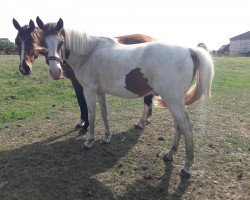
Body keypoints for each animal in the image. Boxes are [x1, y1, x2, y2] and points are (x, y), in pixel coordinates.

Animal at [13, 17, 156, 133]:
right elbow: (80, 101)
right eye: (17, 41)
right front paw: (81, 121)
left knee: (147, 100)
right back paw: (147, 119)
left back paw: (140, 122)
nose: (24, 68)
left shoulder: (80, 83)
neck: (84, 53)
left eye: (31, 40)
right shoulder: (75, 82)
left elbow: (83, 102)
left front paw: (85, 125)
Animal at [37, 16, 215, 177]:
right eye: (43, 42)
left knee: (186, 127)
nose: (55, 71)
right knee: (179, 126)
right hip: (174, 101)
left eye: (61, 42)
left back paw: (186, 167)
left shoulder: (89, 91)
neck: (89, 52)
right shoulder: (100, 92)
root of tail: (189, 50)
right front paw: (106, 137)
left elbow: (92, 116)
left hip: (173, 101)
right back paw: (170, 154)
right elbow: (104, 114)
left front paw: (89, 141)